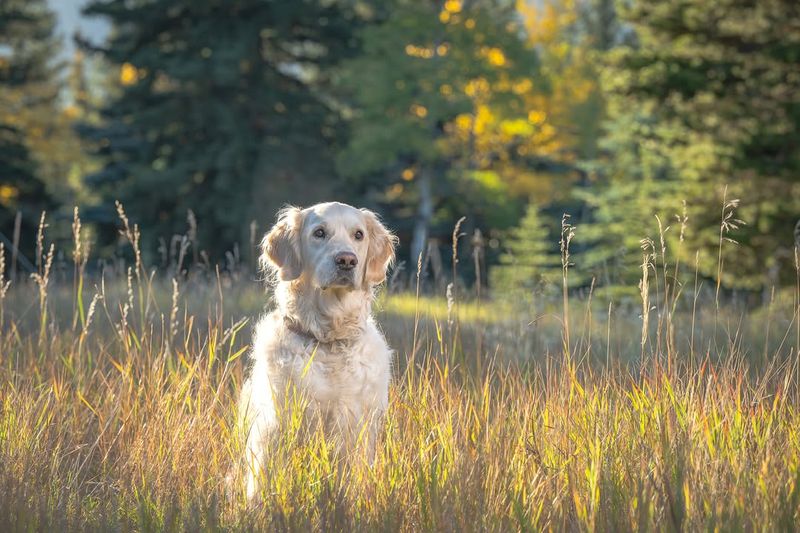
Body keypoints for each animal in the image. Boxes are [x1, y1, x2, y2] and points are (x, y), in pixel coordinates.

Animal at [239, 202, 398, 500]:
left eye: (358, 235)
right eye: (319, 233)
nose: (346, 260)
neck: (329, 339)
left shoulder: (356, 424)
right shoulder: (278, 423)